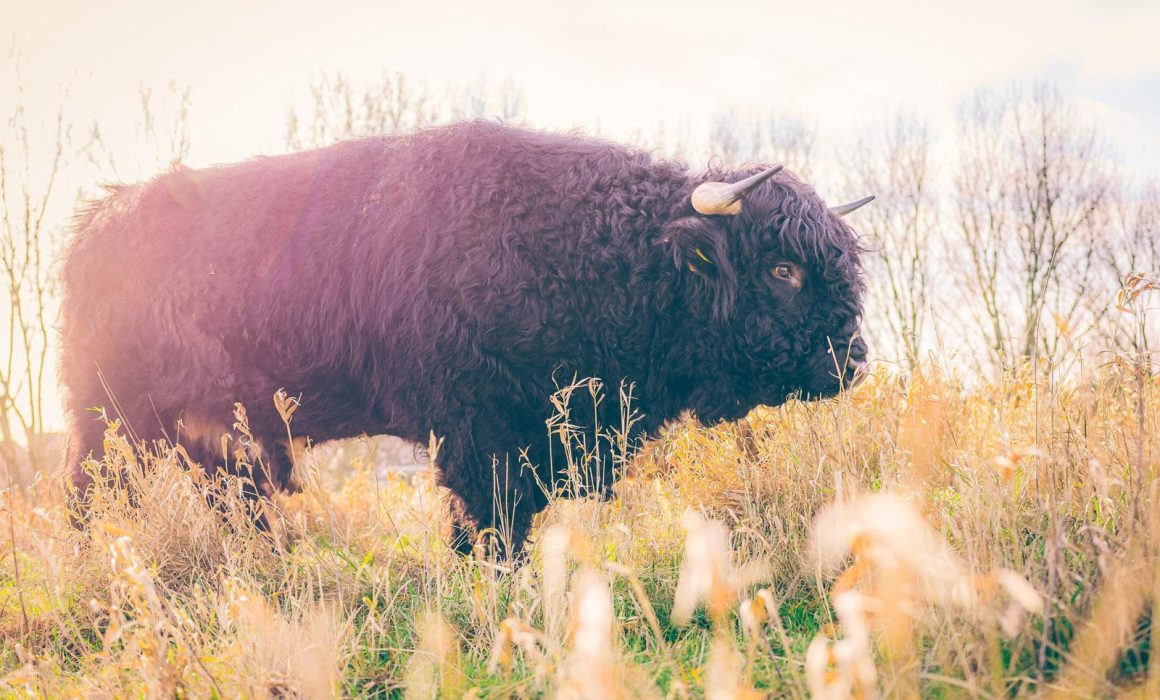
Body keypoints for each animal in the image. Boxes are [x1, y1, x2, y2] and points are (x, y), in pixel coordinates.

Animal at [58, 120, 867, 552]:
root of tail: (96, 223)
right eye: (785, 267)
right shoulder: (480, 437)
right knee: (89, 500)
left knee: (234, 500)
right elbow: (489, 529)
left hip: (204, 436)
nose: (853, 359)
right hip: (109, 424)